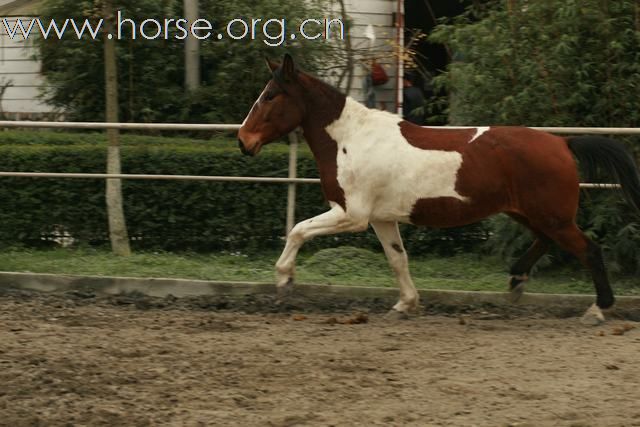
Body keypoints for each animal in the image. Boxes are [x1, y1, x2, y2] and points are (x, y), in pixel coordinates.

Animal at [238, 55, 640, 326]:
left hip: (551, 216)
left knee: (589, 250)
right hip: (530, 214)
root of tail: (562, 143)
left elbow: (297, 229)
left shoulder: (352, 215)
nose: (243, 141)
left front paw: (285, 279)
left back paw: (598, 309)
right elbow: (397, 260)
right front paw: (406, 305)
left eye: (270, 96)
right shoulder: (380, 219)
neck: (350, 139)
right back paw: (516, 281)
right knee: (545, 242)